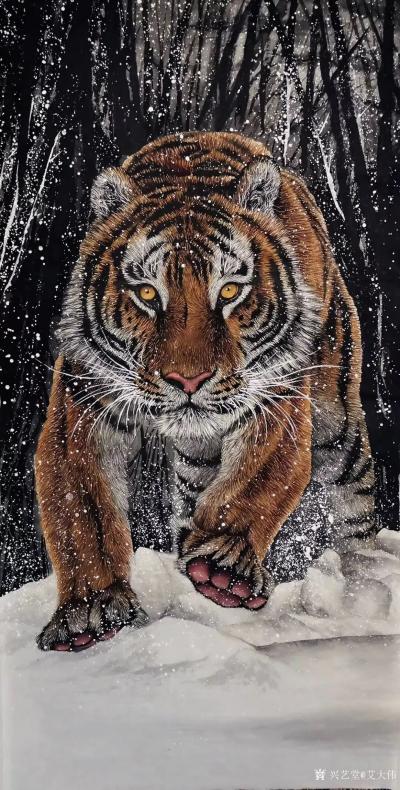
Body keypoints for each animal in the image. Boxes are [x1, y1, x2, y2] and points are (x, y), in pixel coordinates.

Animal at [35, 131, 376, 652]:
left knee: (354, 499)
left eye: (231, 291)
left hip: (336, 423)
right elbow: (82, 512)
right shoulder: (84, 407)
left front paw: (223, 567)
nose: (188, 381)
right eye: (148, 294)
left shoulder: (276, 396)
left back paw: (360, 580)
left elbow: (258, 480)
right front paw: (91, 609)